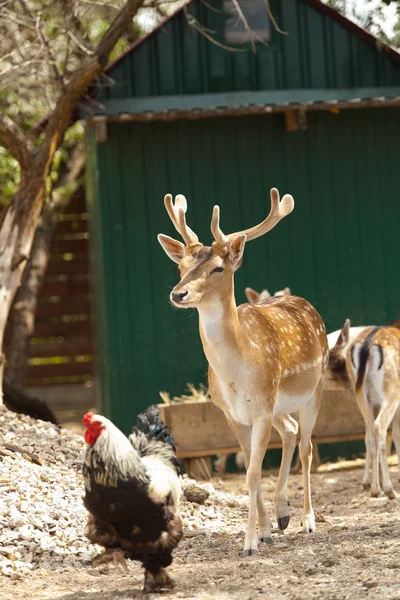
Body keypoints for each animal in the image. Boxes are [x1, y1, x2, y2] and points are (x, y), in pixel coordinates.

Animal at [158, 190, 330, 556]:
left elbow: (252, 473)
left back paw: (307, 519)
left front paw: (250, 543)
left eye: (218, 267)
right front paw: (263, 530)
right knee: (290, 431)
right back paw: (282, 515)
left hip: (314, 388)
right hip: (278, 405)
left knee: (306, 446)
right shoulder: (233, 414)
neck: (237, 375)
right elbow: (252, 469)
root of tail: (303, 301)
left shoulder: (262, 410)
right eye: (181, 267)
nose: (178, 293)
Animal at [346, 326, 400, 500]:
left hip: (360, 394)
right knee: (379, 427)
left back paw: (375, 488)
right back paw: (389, 490)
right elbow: (396, 435)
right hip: (392, 392)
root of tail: (366, 346)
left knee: (370, 432)